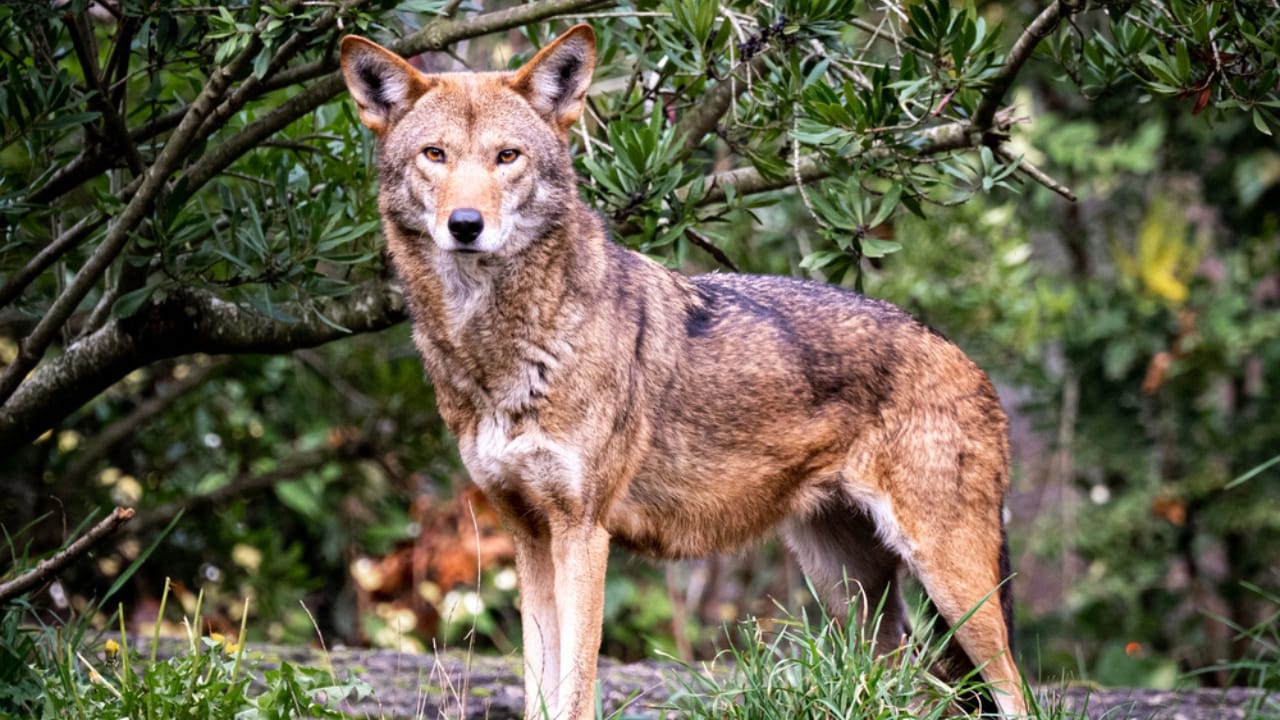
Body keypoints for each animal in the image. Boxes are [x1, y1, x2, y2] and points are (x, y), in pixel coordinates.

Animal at [340, 24, 1027, 719]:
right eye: (435, 154)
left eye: (508, 157)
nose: (466, 226)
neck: (500, 351)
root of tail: (966, 360)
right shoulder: (529, 533)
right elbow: (539, 690)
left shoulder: (583, 533)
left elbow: (575, 692)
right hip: (850, 594)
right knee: (913, 682)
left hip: (950, 581)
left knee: (1012, 688)